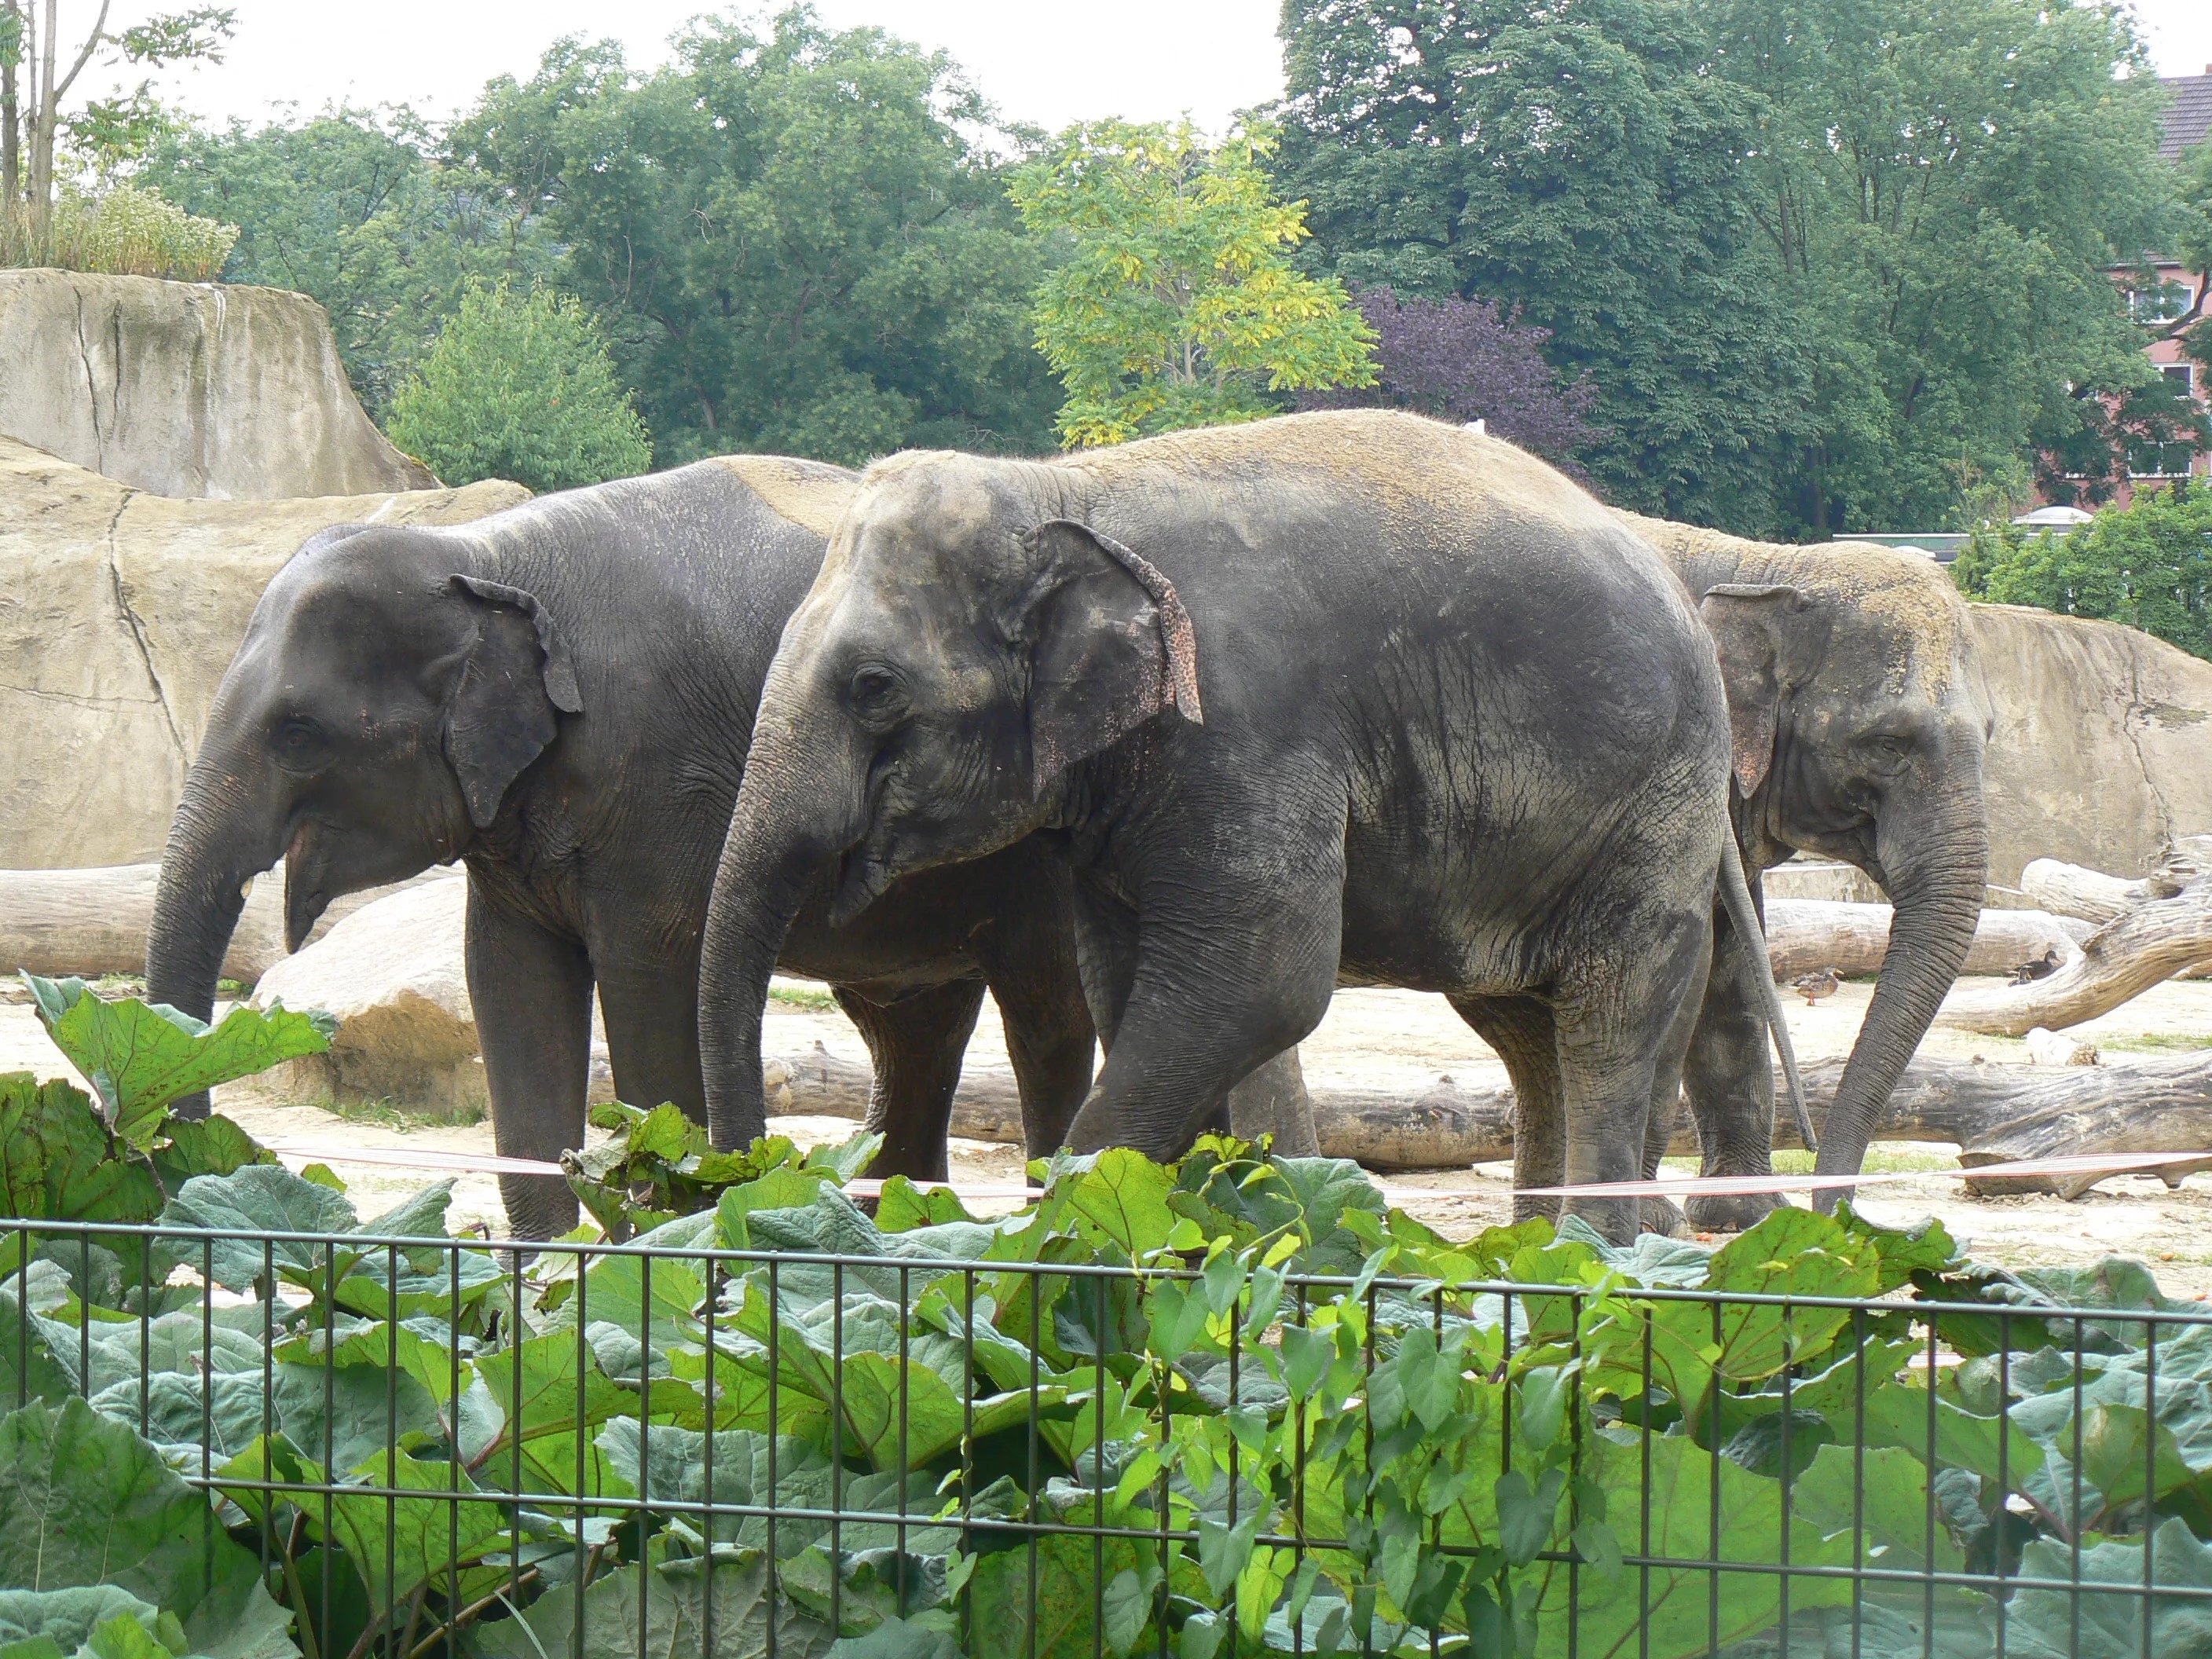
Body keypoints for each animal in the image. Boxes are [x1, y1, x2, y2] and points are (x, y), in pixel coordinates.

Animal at [142, 456, 1101, 1238]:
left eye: (298, 733)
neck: (490, 558)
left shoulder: (665, 785)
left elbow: (650, 984)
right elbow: (510, 985)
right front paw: (542, 1285)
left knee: (1042, 1012)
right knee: (911, 1032)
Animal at [698, 413, 1804, 1247]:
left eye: (873, 687)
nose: (746, 1185)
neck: (1065, 490)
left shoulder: (1247, 729)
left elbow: (1258, 979)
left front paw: (1070, 1224)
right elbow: (1131, 983)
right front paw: (1191, 1226)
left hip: (1655, 800)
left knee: (1607, 1013)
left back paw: (1591, 1252)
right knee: (1525, 1024)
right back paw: (1532, 1248)